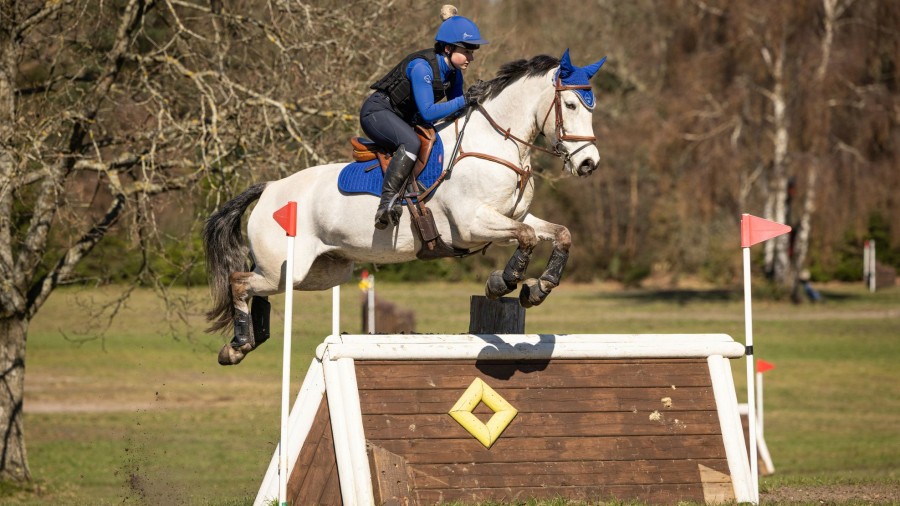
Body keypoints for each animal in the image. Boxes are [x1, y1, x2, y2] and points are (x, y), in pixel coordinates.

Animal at [205, 49, 608, 364]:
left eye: (591, 108)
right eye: (570, 104)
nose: (589, 163)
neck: (495, 144)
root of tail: (270, 188)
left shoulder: (511, 217)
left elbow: (559, 234)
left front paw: (538, 288)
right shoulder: (472, 225)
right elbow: (526, 238)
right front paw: (503, 282)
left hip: (319, 272)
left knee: (258, 288)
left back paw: (246, 342)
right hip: (287, 267)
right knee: (240, 282)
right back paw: (238, 345)